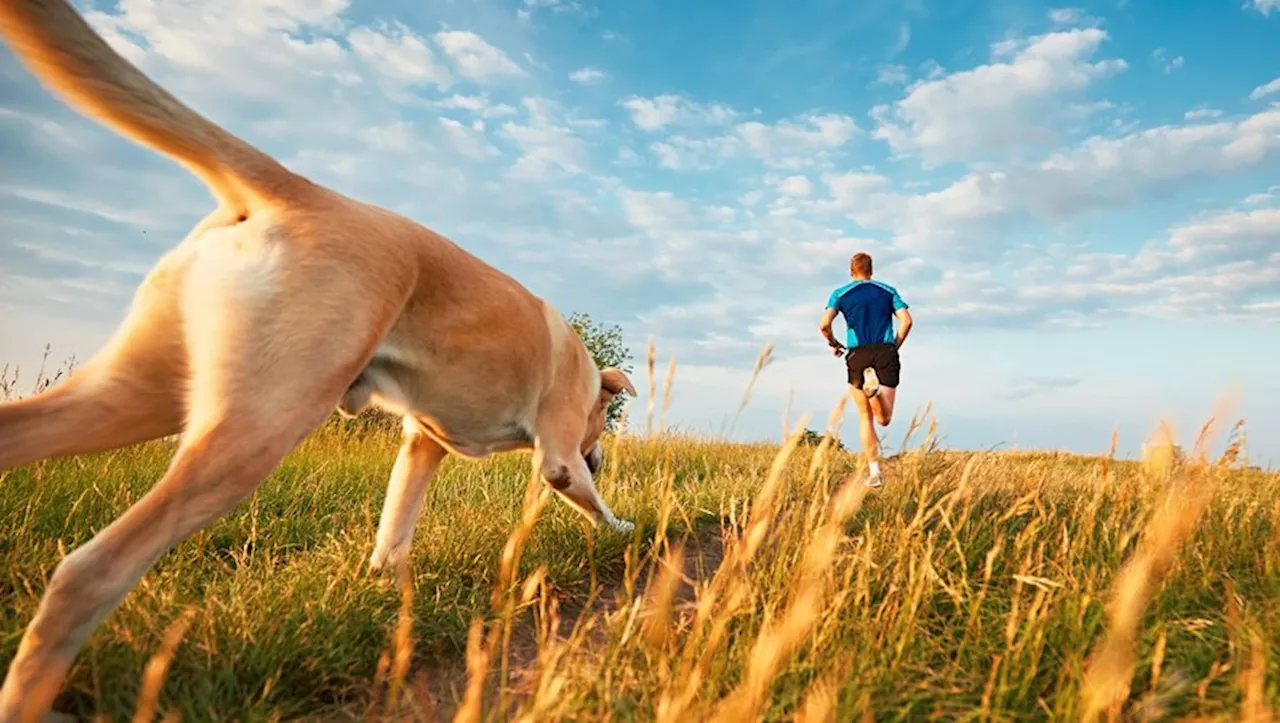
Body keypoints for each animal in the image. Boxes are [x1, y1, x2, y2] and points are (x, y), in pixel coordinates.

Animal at [0, 1, 637, 716]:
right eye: (595, 431)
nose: (600, 455)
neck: (583, 369)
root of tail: (298, 189)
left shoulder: (422, 445)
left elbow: (395, 526)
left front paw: (386, 585)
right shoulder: (557, 458)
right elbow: (594, 504)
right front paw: (627, 529)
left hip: (134, 395)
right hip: (257, 428)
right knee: (89, 571)